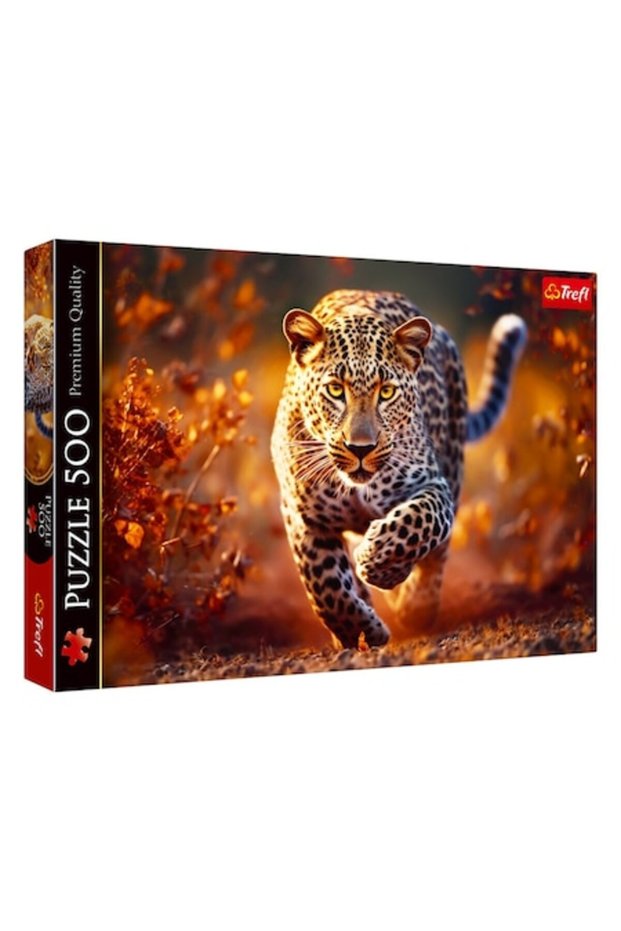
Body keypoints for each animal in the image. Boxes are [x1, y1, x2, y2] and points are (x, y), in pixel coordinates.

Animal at [270, 288, 527, 649]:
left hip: (454, 463)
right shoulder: (302, 514)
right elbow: (325, 584)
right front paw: (360, 631)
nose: (360, 448)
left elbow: (418, 522)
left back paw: (416, 606)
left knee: (437, 555)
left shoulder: (434, 485)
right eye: (335, 390)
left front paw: (379, 563)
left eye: (387, 392)